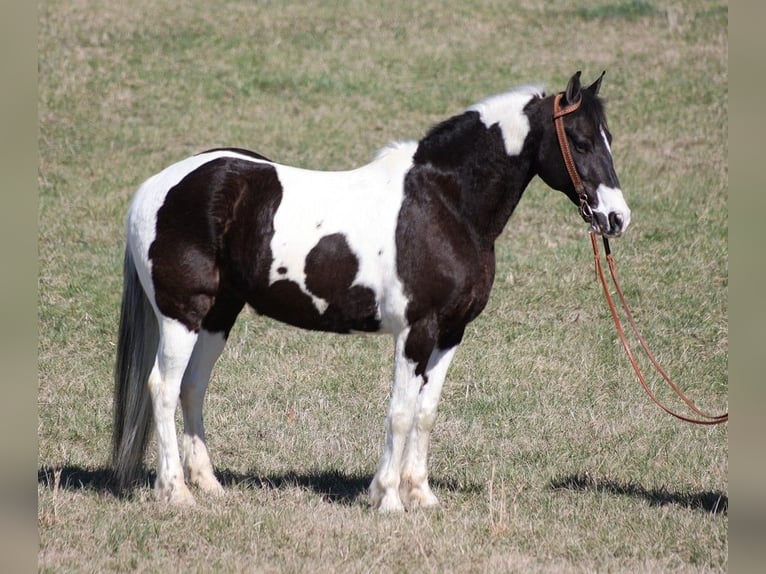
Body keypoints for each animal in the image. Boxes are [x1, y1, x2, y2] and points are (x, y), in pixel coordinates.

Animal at [112, 71, 632, 512]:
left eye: (609, 138)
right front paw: (388, 500)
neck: (445, 204)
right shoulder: (416, 331)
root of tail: (154, 187)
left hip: (218, 315)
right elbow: (400, 412)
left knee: (193, 387)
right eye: (581, 141)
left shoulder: (450, 333)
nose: (617, 218)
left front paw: (421, 496)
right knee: (163, 388)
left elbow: (425, 412)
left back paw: (209, 484)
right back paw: (175, 492)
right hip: (182, 315)